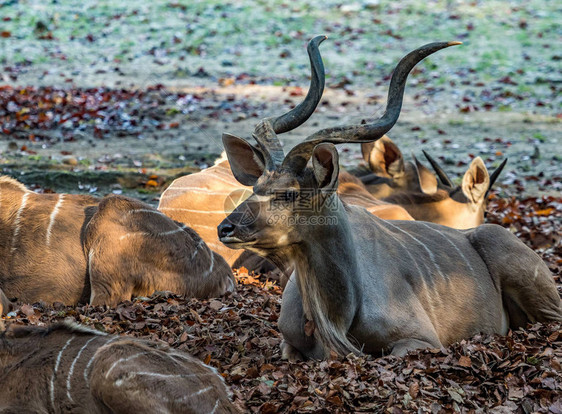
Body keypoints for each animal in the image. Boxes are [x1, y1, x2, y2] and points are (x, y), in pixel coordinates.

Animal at [215, 36, 560, 360]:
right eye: (256, 187)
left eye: (288, 193)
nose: (225, 228)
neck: (337, 320)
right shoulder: (288, 343)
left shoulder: (421, 341)